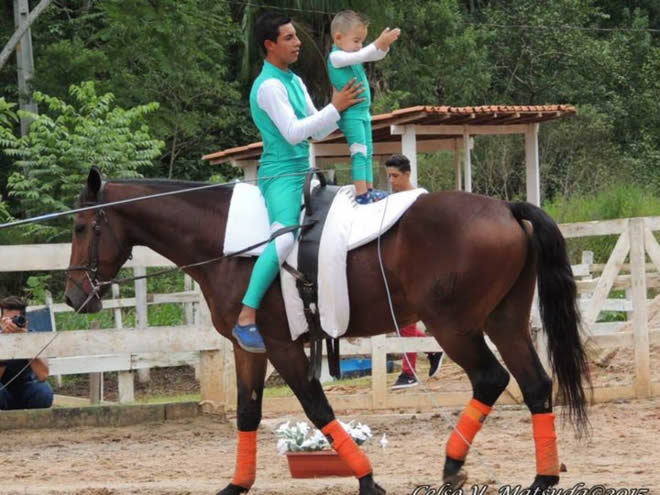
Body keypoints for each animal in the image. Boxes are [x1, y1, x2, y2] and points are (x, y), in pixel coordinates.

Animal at [64, 169, 592, 494]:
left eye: (81, 227)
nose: (73, 296)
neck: (231, 244)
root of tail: (505, 208)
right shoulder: (249, 348)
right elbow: (247, 413)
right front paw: (236, 484)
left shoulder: (282, 346)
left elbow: (317, 408)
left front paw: (367, 479)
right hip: (503, 321)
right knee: (535, 385)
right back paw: (542, 479)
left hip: (454, 327)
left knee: (492, 379)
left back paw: (452, 465)